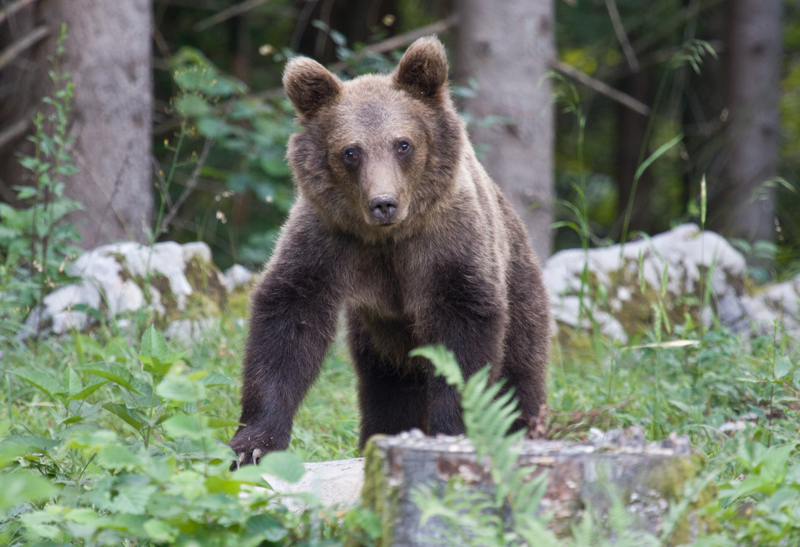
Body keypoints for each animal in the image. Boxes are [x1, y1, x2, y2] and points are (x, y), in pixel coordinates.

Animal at [228, 36, 548, 464]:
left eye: (403, 144)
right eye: (351, 151)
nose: (383, 203)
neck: (390, 239)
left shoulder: (447, 247)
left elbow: (463, 337)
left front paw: (453, 430)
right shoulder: (330, 241)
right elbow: (288, 322)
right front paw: (254, 443)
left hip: (520, 292)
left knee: (519, 375)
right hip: (377, 341)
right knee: (386, 391)